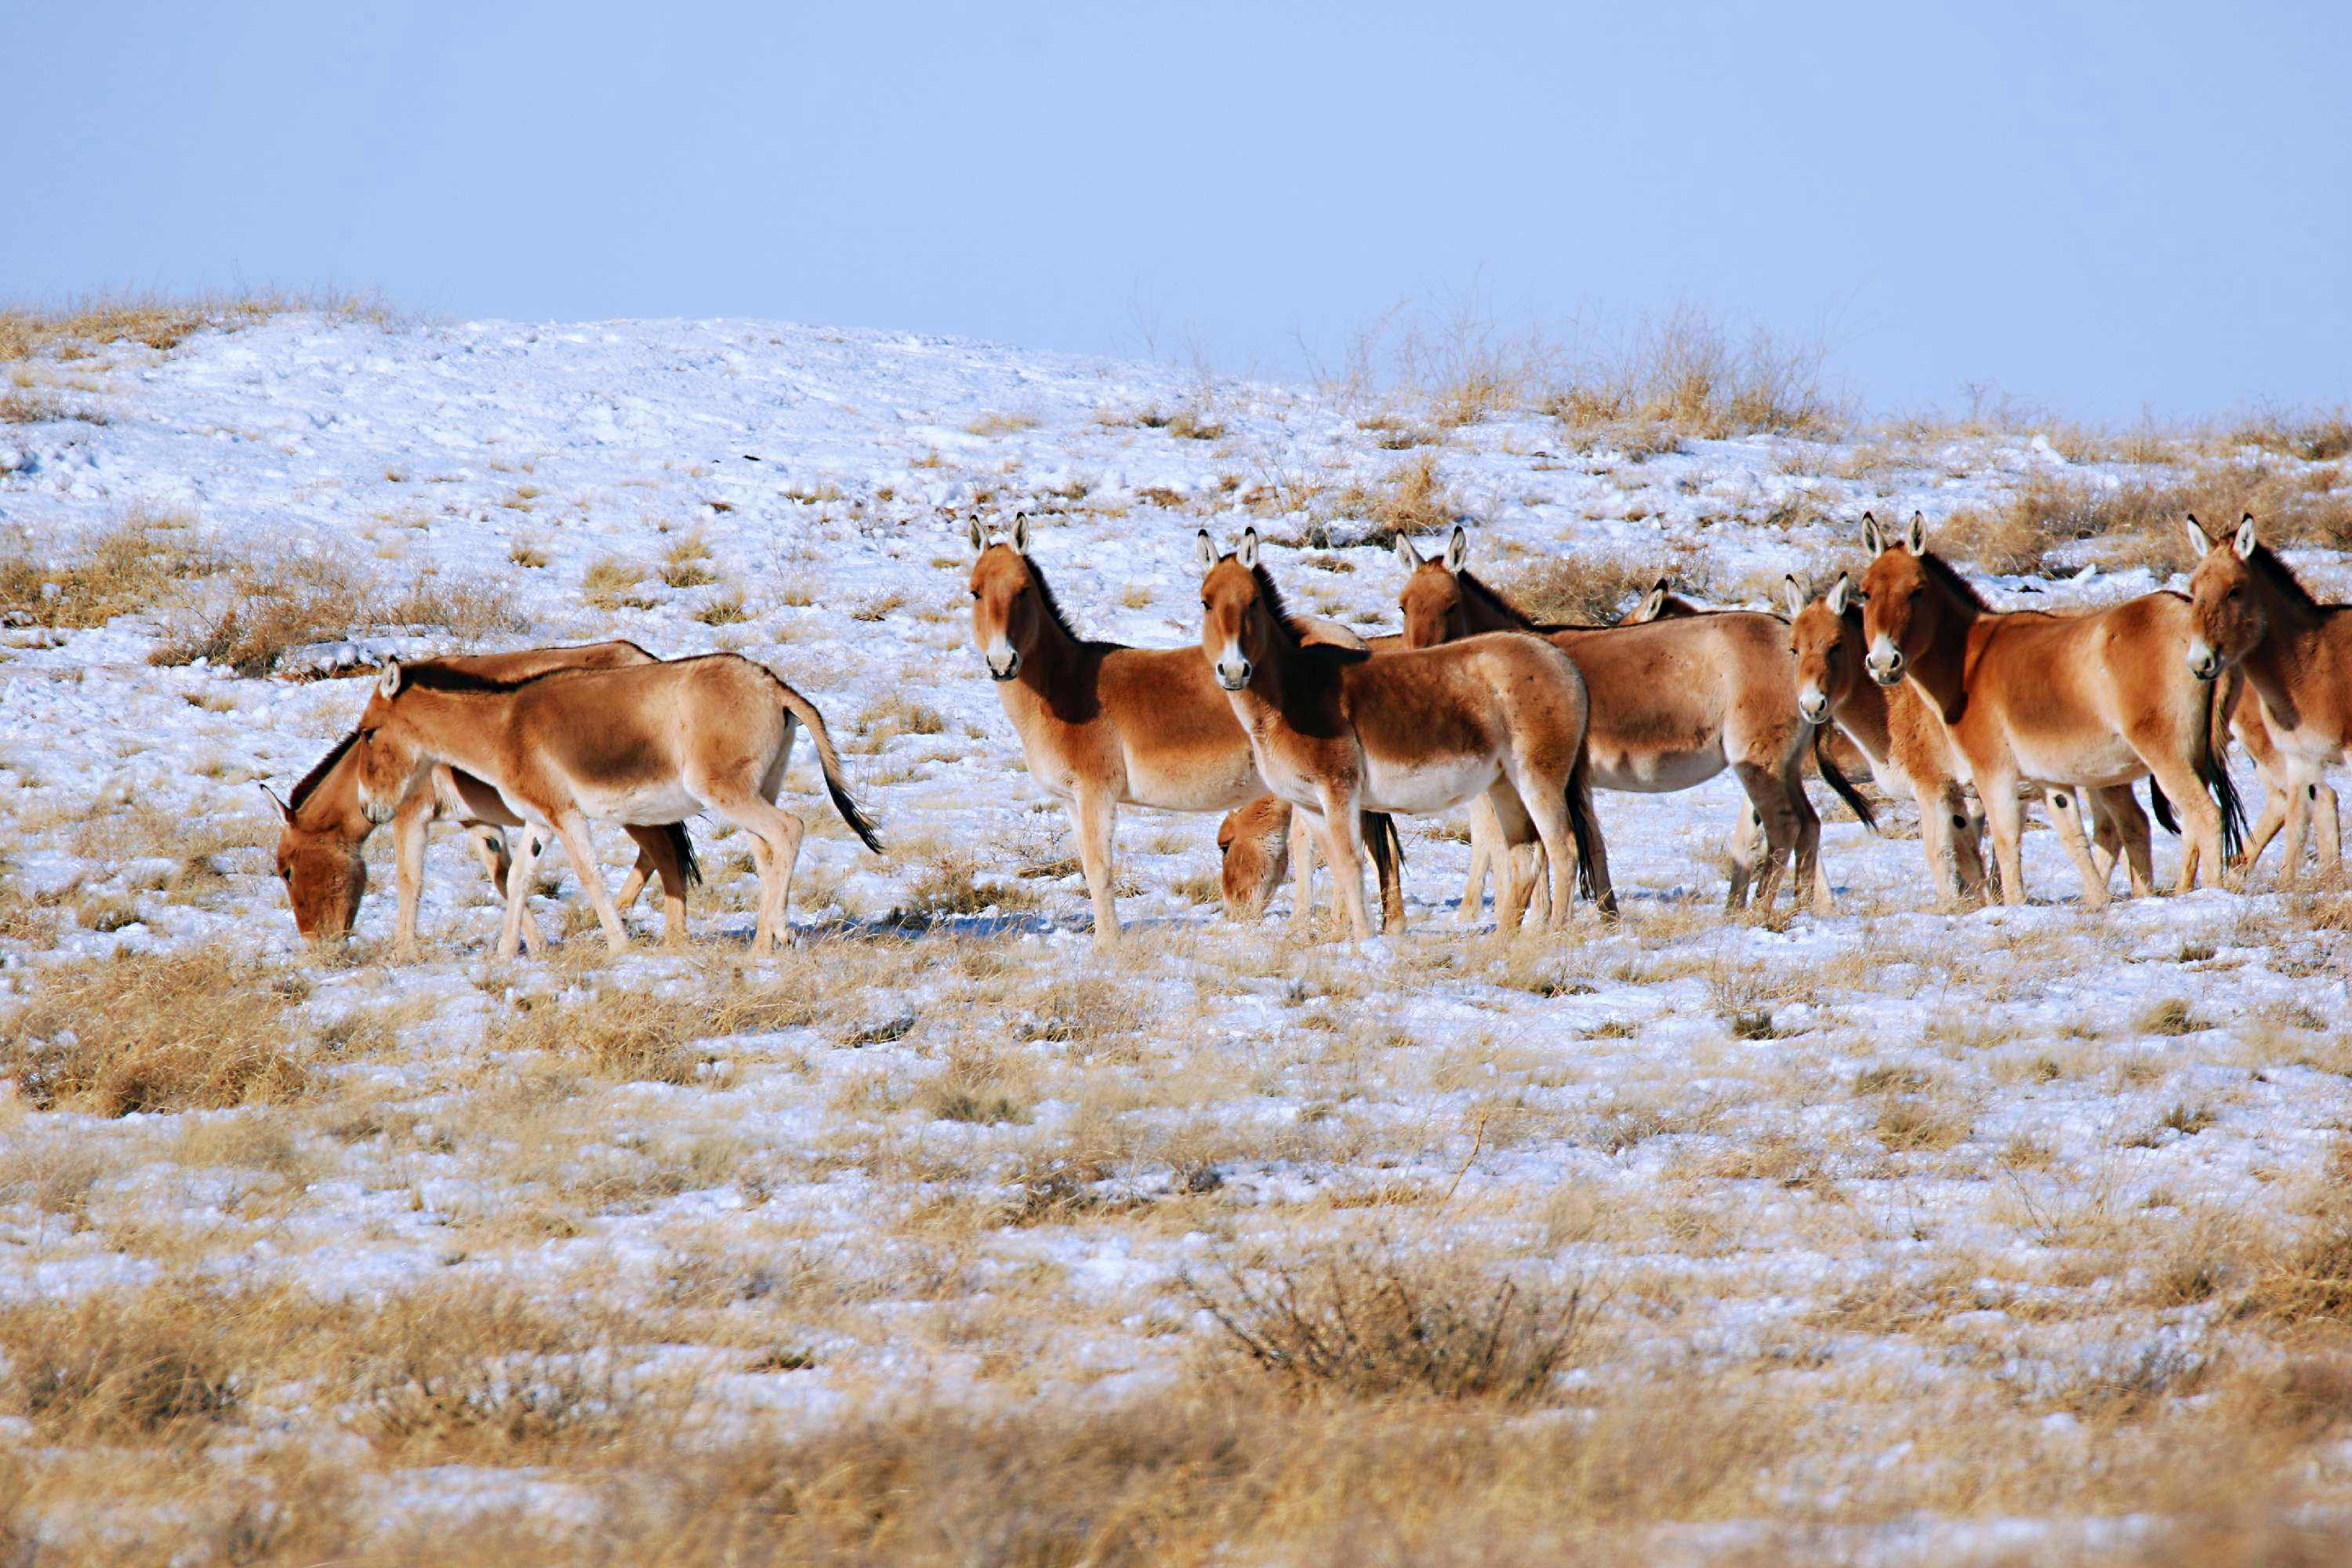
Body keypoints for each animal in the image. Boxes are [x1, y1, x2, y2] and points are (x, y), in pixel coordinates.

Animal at [343, 648, 870, 959]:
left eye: (368, 733)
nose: (370, 810)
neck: (503, 728)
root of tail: (769, 684)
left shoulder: (566, 816)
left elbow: (589, 875)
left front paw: (618, 946)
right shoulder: (540, 821)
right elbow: (518, 880)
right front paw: (506, 955)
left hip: (727, 792)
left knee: (789, 830)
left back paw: (770, 939)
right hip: (755, 790)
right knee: (766, 851)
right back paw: (771, 938)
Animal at [1204, 526, 1609, 945]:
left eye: (1252, 602)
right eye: (1206, 602)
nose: (1234, 672)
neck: (1293, 692)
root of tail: (1559, 659)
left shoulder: (1340, 796)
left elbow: (1351, 862)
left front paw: (1364, 943)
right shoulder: (1310, 804)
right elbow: (1334, 863)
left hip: (1538, 781)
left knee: (1563, 848)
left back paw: (1553, 936)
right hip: (1504, 785)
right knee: (1526, 854)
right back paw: (1501, 943)